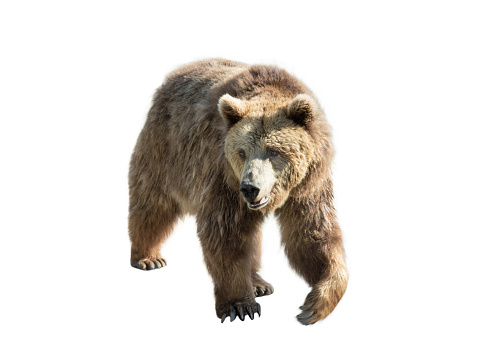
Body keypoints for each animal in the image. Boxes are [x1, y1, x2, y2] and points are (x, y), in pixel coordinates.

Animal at [128, 58, 348, 324]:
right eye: (241, 152)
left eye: (273, 151)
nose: (250, 188)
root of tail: (176, 73)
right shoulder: (223, 177)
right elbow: (226, 234)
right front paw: (240, 306)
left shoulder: (308, 186)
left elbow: (313, 234)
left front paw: (314, 304)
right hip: (165, 150)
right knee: (153, 203)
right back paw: (148, 257)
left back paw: (259, 283)